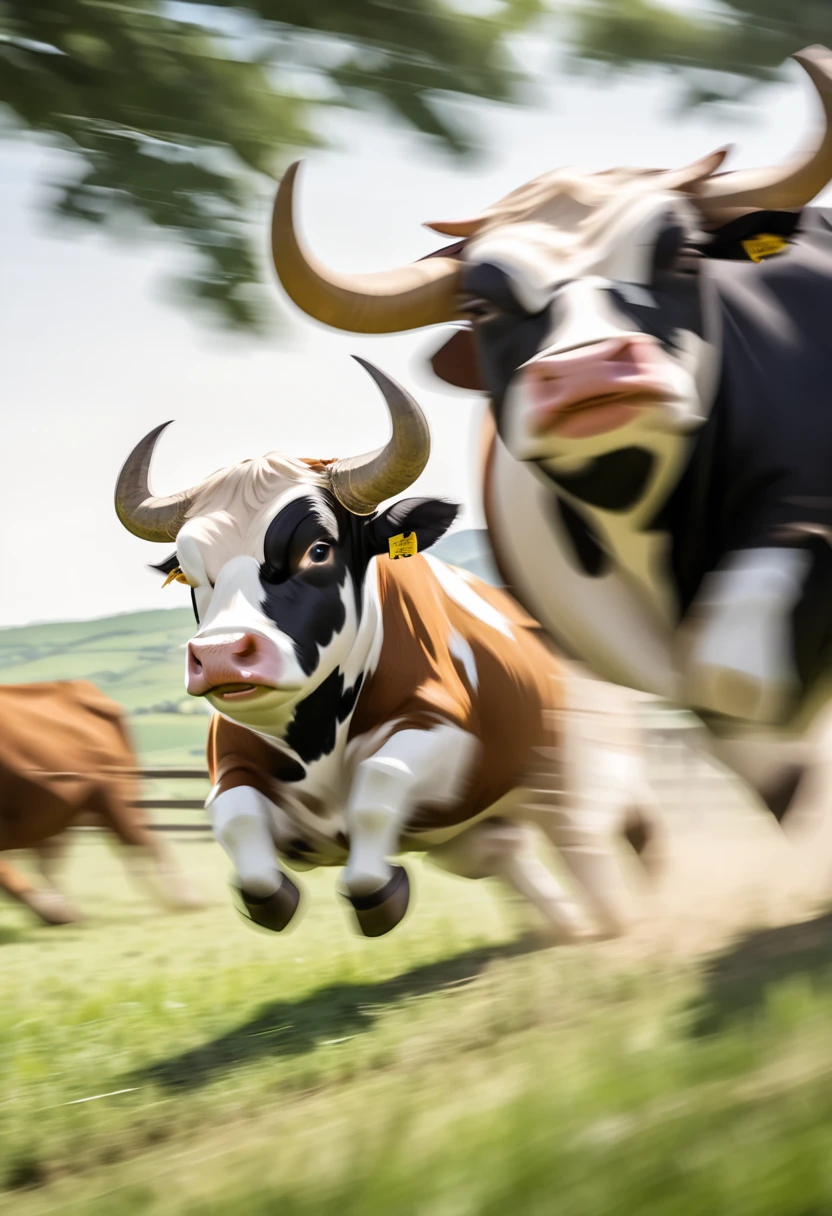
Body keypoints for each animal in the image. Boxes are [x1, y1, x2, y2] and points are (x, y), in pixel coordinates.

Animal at [0, 680, 200, 924]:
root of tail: (78, 685)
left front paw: (55, 912)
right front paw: (56, 911)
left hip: (118, 798)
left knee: (146, 840)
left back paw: (185, 898)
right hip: (67, 814)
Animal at [113, 355, 661, 933]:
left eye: (318, 549)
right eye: (189, 572)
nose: (220, 655)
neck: (316, 738)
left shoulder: (443, 726)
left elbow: (379, 781)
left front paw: (377, 891)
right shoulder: (232, 764)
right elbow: (234, 820)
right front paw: (271, 897)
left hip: (582, 783)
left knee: (609, 858)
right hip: (478, 832)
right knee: (511, 858)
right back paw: (568, 929)